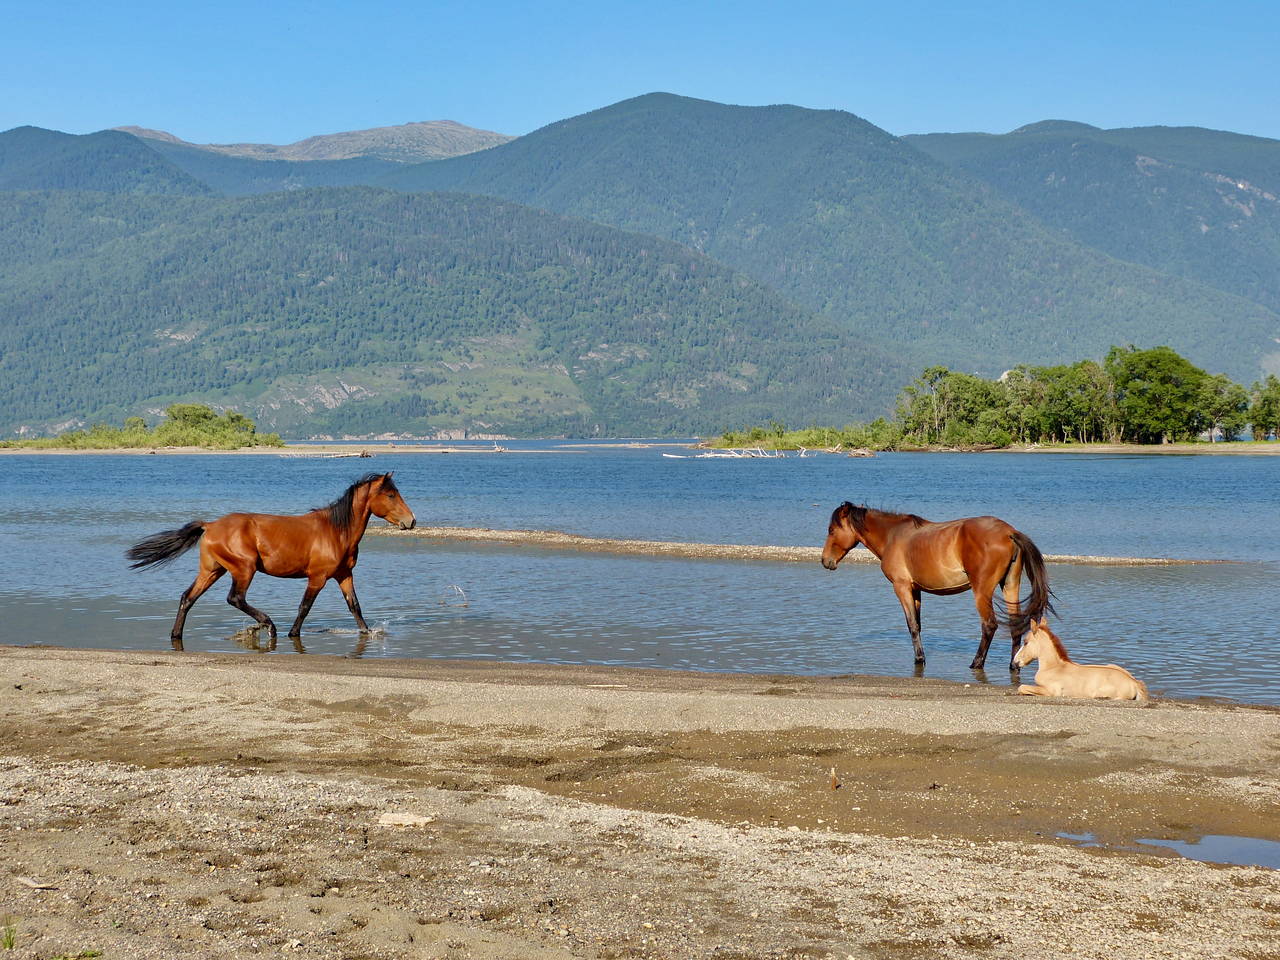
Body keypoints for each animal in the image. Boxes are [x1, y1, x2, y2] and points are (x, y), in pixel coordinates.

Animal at [126, 471, 414, 647]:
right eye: (391, 495)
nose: (411, 521)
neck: (335, 531)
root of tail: (210, 525)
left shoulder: (344, 575)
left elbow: (354, 606)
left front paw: (368, 633)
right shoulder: (318, 577)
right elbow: (304, 607)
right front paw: (292, 633)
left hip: (213, 570)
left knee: (188, 598)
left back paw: (176, 636)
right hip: (244, 569)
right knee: (235, 598)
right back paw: (268, 625)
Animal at [824, 506, 1054, 670]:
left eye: (831, 530)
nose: (826, 561)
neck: (893, 535)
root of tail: (1009, 532)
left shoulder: (902, 587)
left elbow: (911, 625)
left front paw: (919, 658)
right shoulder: (915, 590)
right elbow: (917, 625)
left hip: (982, 591)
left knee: (989, 625)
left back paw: (976, 663)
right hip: (1010, 585)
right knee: (1016, 624)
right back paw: (1013, 665)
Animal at [1008, 619, 1152, 701]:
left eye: (1026, 642)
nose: (1015, 662)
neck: (1053, 667)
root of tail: (1134, 682)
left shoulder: (1052, 691)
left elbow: (1021, 687)